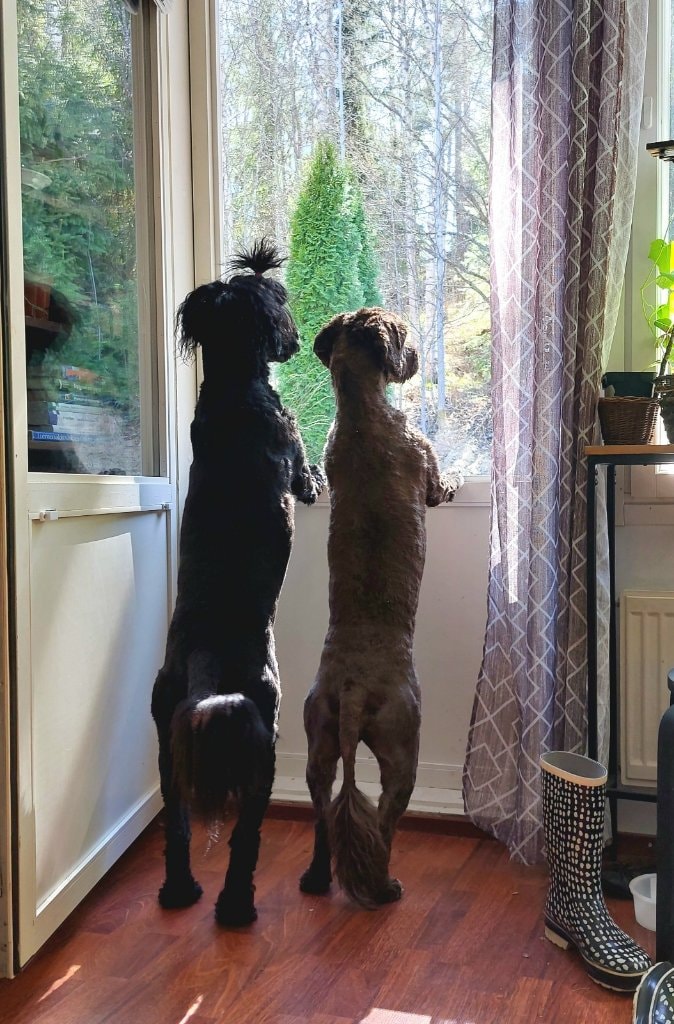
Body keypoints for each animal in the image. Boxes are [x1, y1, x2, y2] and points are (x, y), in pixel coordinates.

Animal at [151, 239, 324, 926]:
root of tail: (206, 658)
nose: (297, 340)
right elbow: (309, 475)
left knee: (175, 824)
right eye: (281, 303)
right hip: (264, 732)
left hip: (170, 738)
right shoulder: (293, 448)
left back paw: (179, 891)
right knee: (246, 835)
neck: (231, 388)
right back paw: (235, 906)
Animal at [299, 307, 462, 907]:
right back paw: (385, 885)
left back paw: (317, 877)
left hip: (318, 745)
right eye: (404, 337)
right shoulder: (424, 464)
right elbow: (439, 484)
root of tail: (351, 692)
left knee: (323, 813)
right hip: (402, 747)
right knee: (387, 821)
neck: (361, 413)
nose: (411, 356)